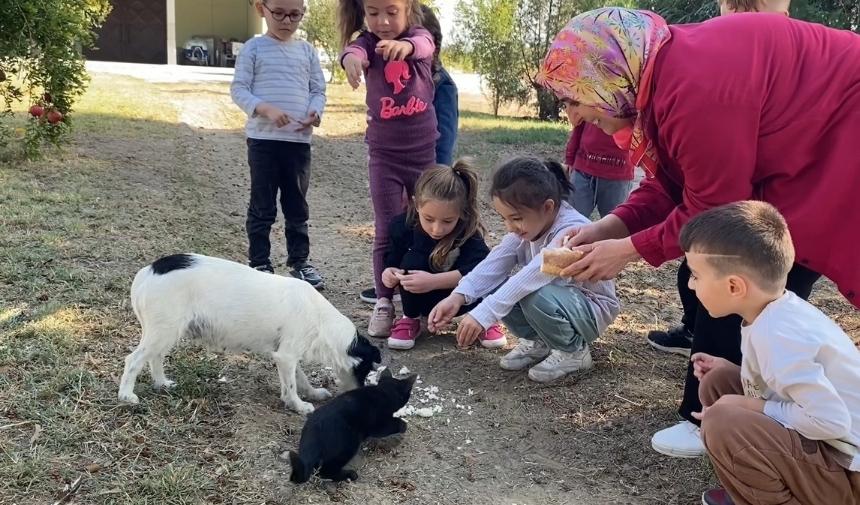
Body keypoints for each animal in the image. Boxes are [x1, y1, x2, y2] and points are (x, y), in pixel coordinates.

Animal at [119, 254, 382, 412]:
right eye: (366, 370)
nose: (362, 396)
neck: (321, 320)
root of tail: (147, 271)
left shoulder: (287, 355)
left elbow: (300, 378)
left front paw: (313, 393)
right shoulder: (286, 356)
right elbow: (291, 386)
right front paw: (298, 405)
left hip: (166, 332)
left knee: (155, 357)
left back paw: (161, 383)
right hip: (164, 331)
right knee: (133, 360)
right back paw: (126, 395)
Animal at [290, 368, 418, 482]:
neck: (383, 392)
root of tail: (313, 429)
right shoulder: (379, 424)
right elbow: (393, 424)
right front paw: (403, 425)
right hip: (348, 444)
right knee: (326, 470)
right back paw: (349, 475)